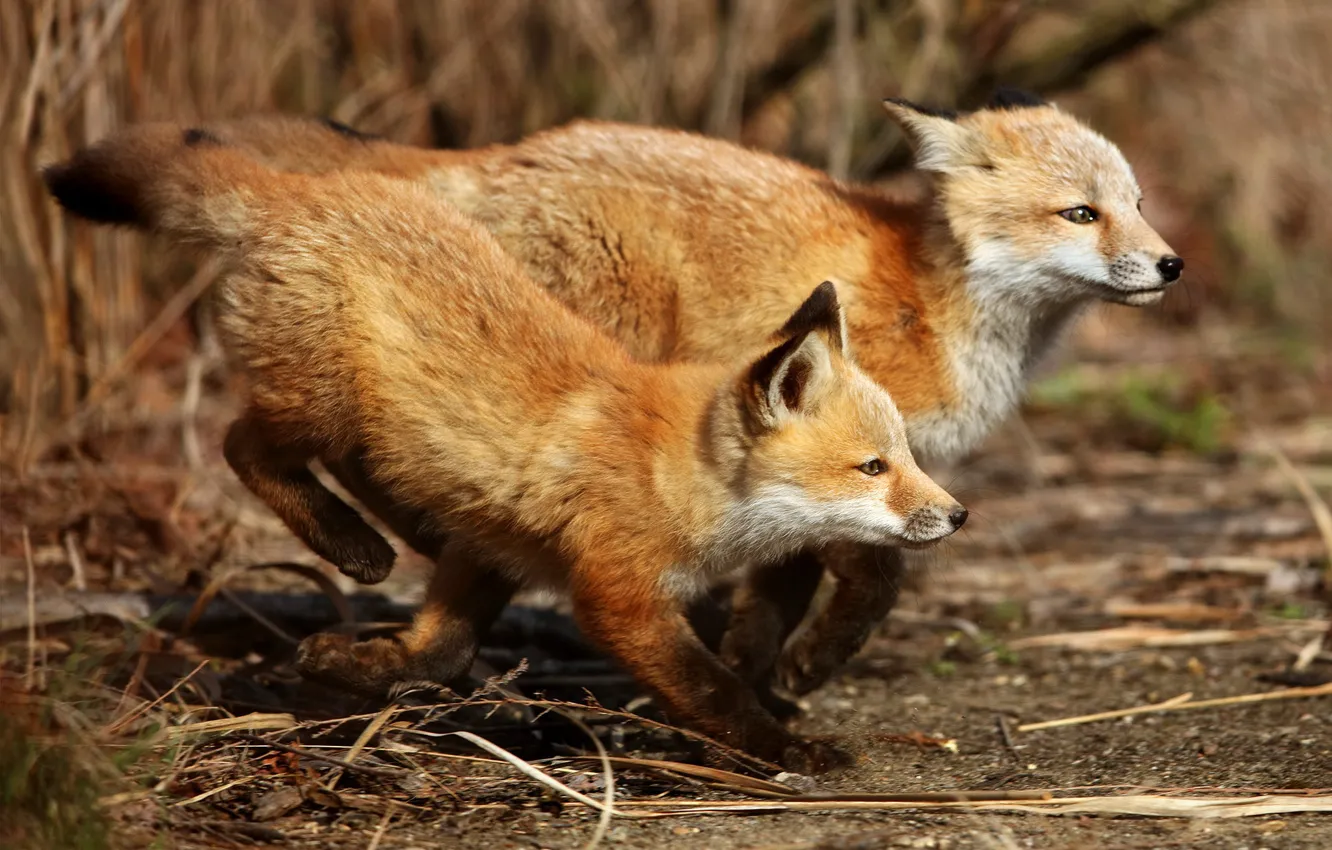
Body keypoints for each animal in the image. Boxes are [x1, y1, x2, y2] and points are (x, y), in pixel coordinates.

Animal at [42, 129, 967, 771]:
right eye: (874, 467)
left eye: (907, 456)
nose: (958, 515)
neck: (672, 476)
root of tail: (300, 190)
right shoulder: (618, 597)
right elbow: (715, 687)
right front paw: (782, 748)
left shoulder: (497, 547)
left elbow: (442, 648)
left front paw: (362, 669)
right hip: (322, 408)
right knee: (242, 446)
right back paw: (355, 545)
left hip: (369, 425)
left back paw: (391, 536)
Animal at [47, 88, 1182, 709]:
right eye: (1080, 214)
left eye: (1134, 201)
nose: (1171, 265)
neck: (933, 303)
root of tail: (500, 152)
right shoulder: (853, 458)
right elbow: (869, 580)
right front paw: (802, 669)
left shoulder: (807, 466)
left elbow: (772, 591)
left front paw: (752, 668)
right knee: (322, 448)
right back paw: (376, 551)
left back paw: (408, 574)